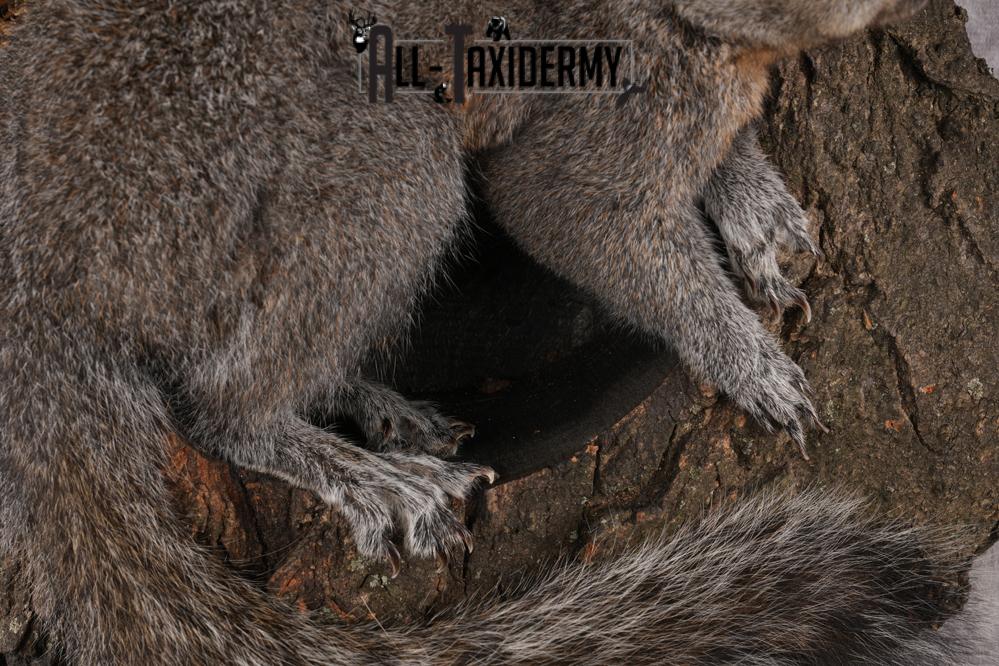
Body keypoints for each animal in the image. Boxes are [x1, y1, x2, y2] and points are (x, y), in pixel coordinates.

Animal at [0, 0, 988, 663]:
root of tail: (45, 269)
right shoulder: (606, 94)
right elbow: (567, 212)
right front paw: (746, 359)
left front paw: (751, 203)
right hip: (264, 175)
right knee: (220, 407)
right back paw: (357, 469)